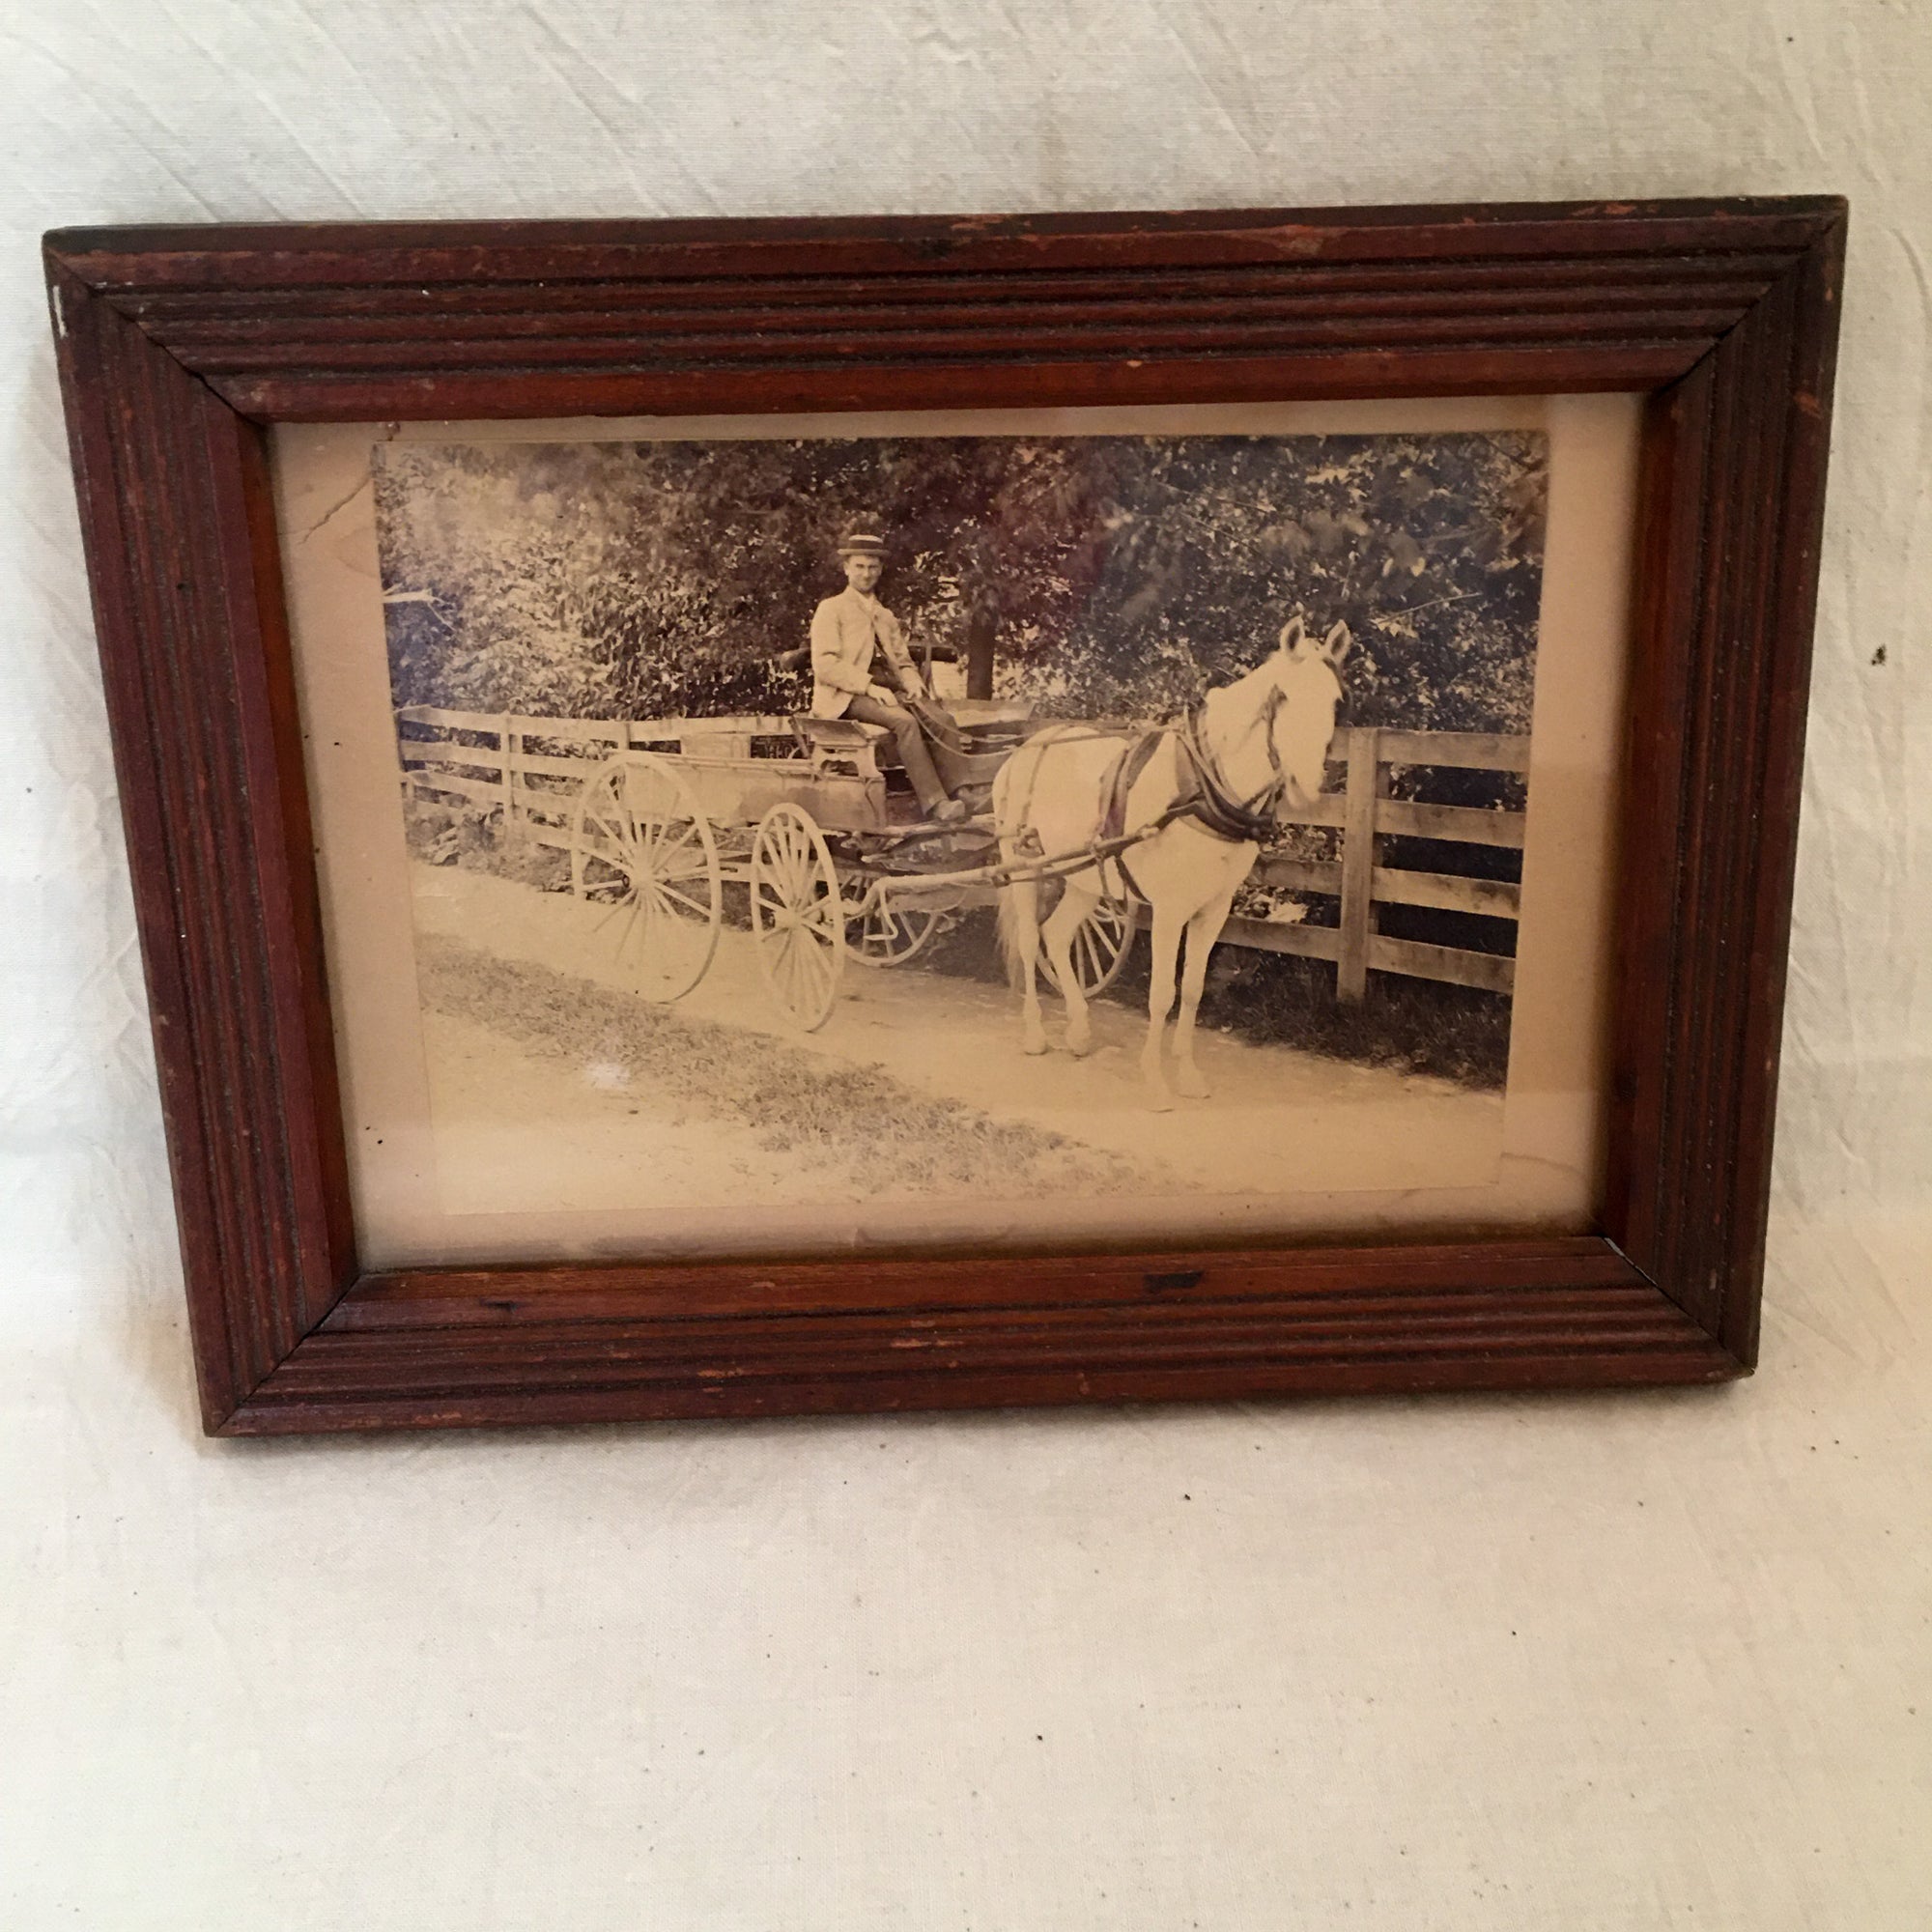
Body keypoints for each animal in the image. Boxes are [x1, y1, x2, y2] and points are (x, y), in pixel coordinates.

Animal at [997, 614, 1345, 1105]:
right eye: (1283, 697)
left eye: (1336, 700)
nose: (1307, 784)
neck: (1203, 785)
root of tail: (1033, 743)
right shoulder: (1168, 908)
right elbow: (1162, 991)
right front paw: (1156, 1083)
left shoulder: (1213, 908)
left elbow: (1194, 989)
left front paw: (1188, 1075)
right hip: (1023, 868)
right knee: (1031, 942)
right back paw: (1034, 1034)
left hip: (1085, 878)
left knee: (1059, 935)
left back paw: (1080, 1032)